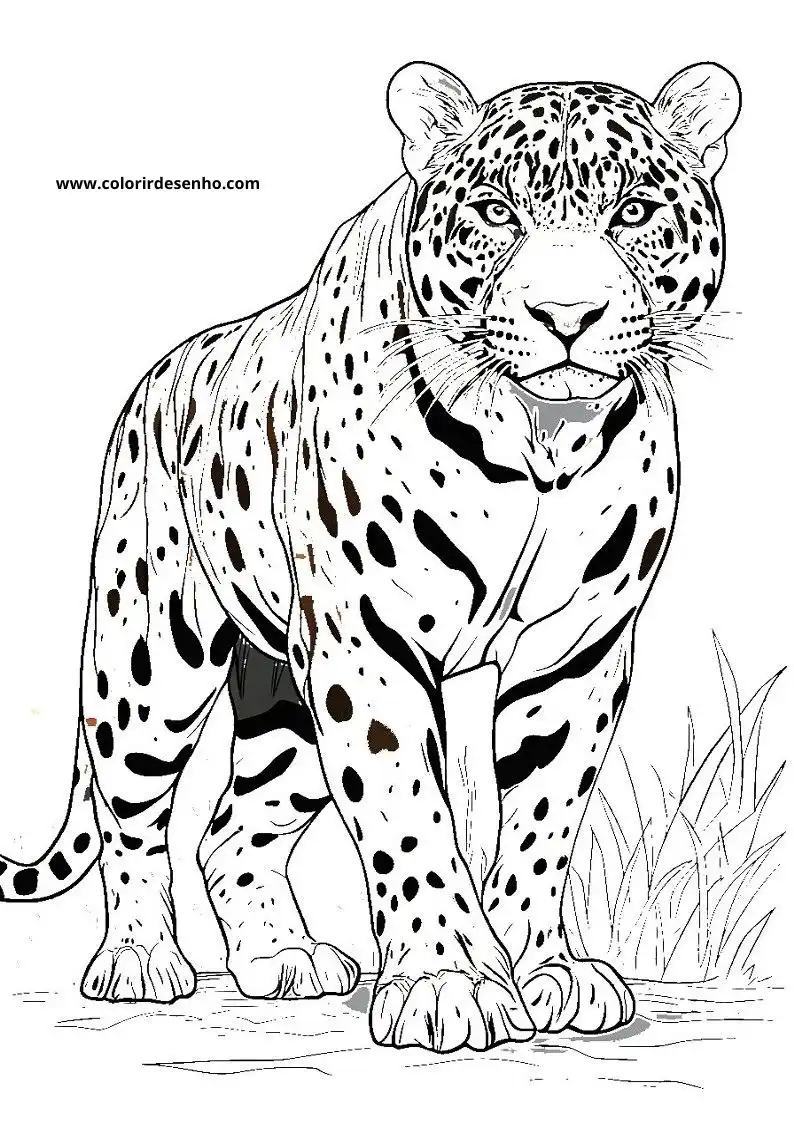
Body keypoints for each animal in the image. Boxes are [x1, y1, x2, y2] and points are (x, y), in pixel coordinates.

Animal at [0, 60, 740, 1052]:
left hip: (288, 703)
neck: (542, 438)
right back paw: (140, 962)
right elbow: (408, 813)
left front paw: (542, 966)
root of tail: (153, 381)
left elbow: (545, 816)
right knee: (135, 818)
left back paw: (284, 958)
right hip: (150, 659)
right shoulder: (367, 643)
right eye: (496, 213)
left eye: (632, 212)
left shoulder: (576, 656)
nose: (567, 315)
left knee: (230, 829)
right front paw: (449, 983)